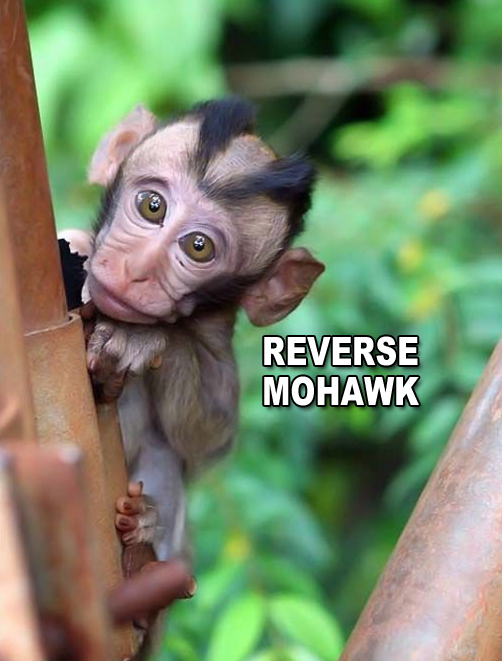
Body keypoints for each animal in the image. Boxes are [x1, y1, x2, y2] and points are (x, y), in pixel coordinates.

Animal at [61, 97, 324, 578]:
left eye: (198, 247)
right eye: (152, 206)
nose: (137, 269)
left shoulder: (217, 331)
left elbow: (209, 439)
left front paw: (139, 336)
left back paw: (144, 528)